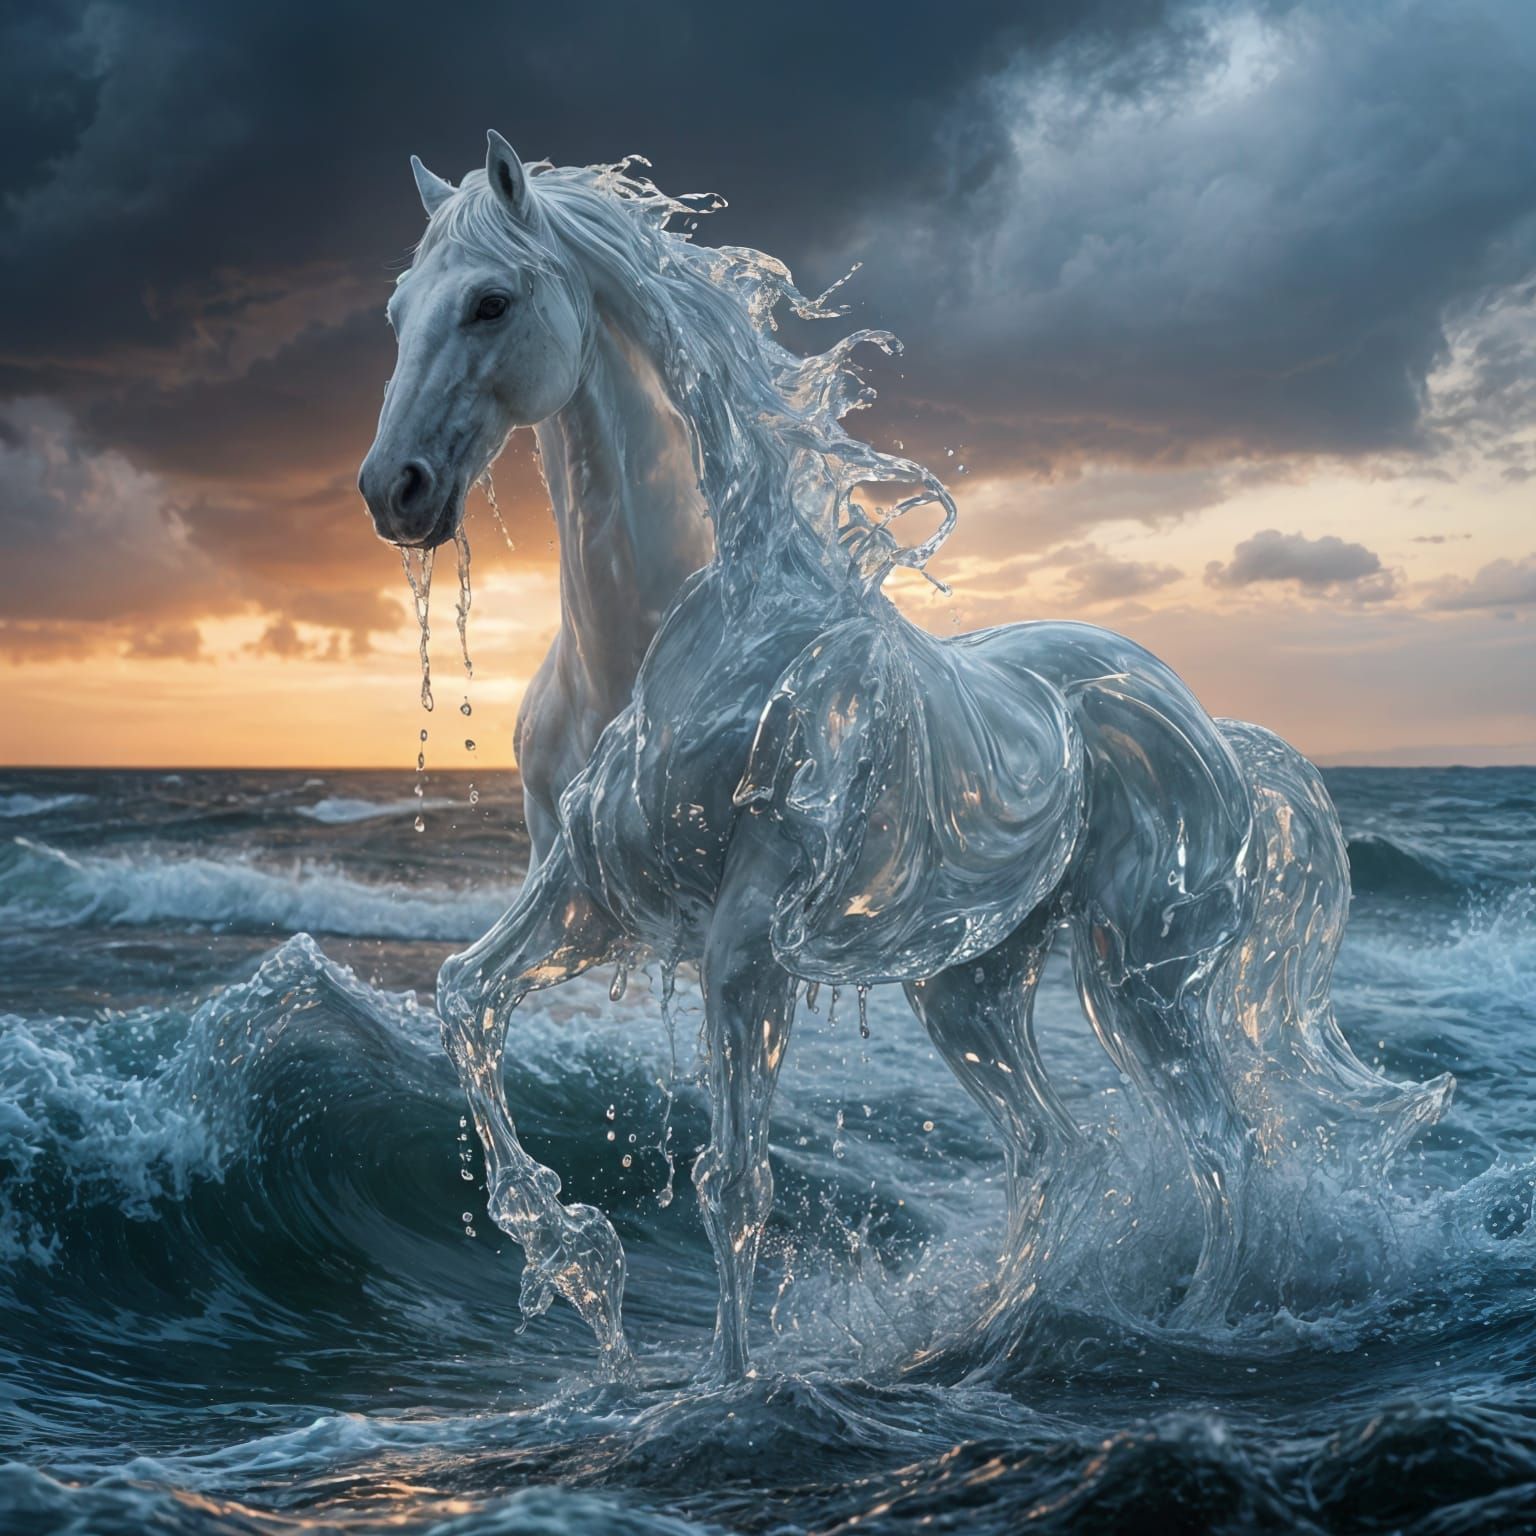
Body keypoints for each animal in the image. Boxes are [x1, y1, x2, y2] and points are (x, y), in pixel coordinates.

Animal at [358, 133, 1451, 1382]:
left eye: (490, 301)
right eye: (397, 309)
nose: (393, 490)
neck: (675, 635)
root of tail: (1211, 727)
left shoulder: (748, 936)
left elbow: (733, 1182)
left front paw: (725, 1388)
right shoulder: (585, 896)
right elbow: (463, 996)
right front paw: (576, 1263)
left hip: (1144, 976)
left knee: (1224, 1145)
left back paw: (1190, 1327)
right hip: (970, 985)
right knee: (1052, 1149)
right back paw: (990, 1344)